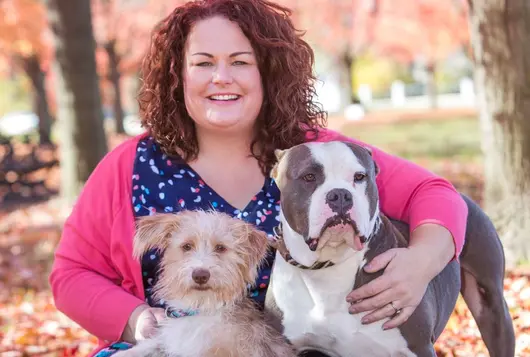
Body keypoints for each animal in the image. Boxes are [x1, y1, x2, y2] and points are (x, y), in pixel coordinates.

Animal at [266, 141, 512, 356]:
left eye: (359, 177)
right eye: (309, 177)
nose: (340, 195)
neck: (331, 265)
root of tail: (461, 194)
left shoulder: (418, 347)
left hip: (491, 307)